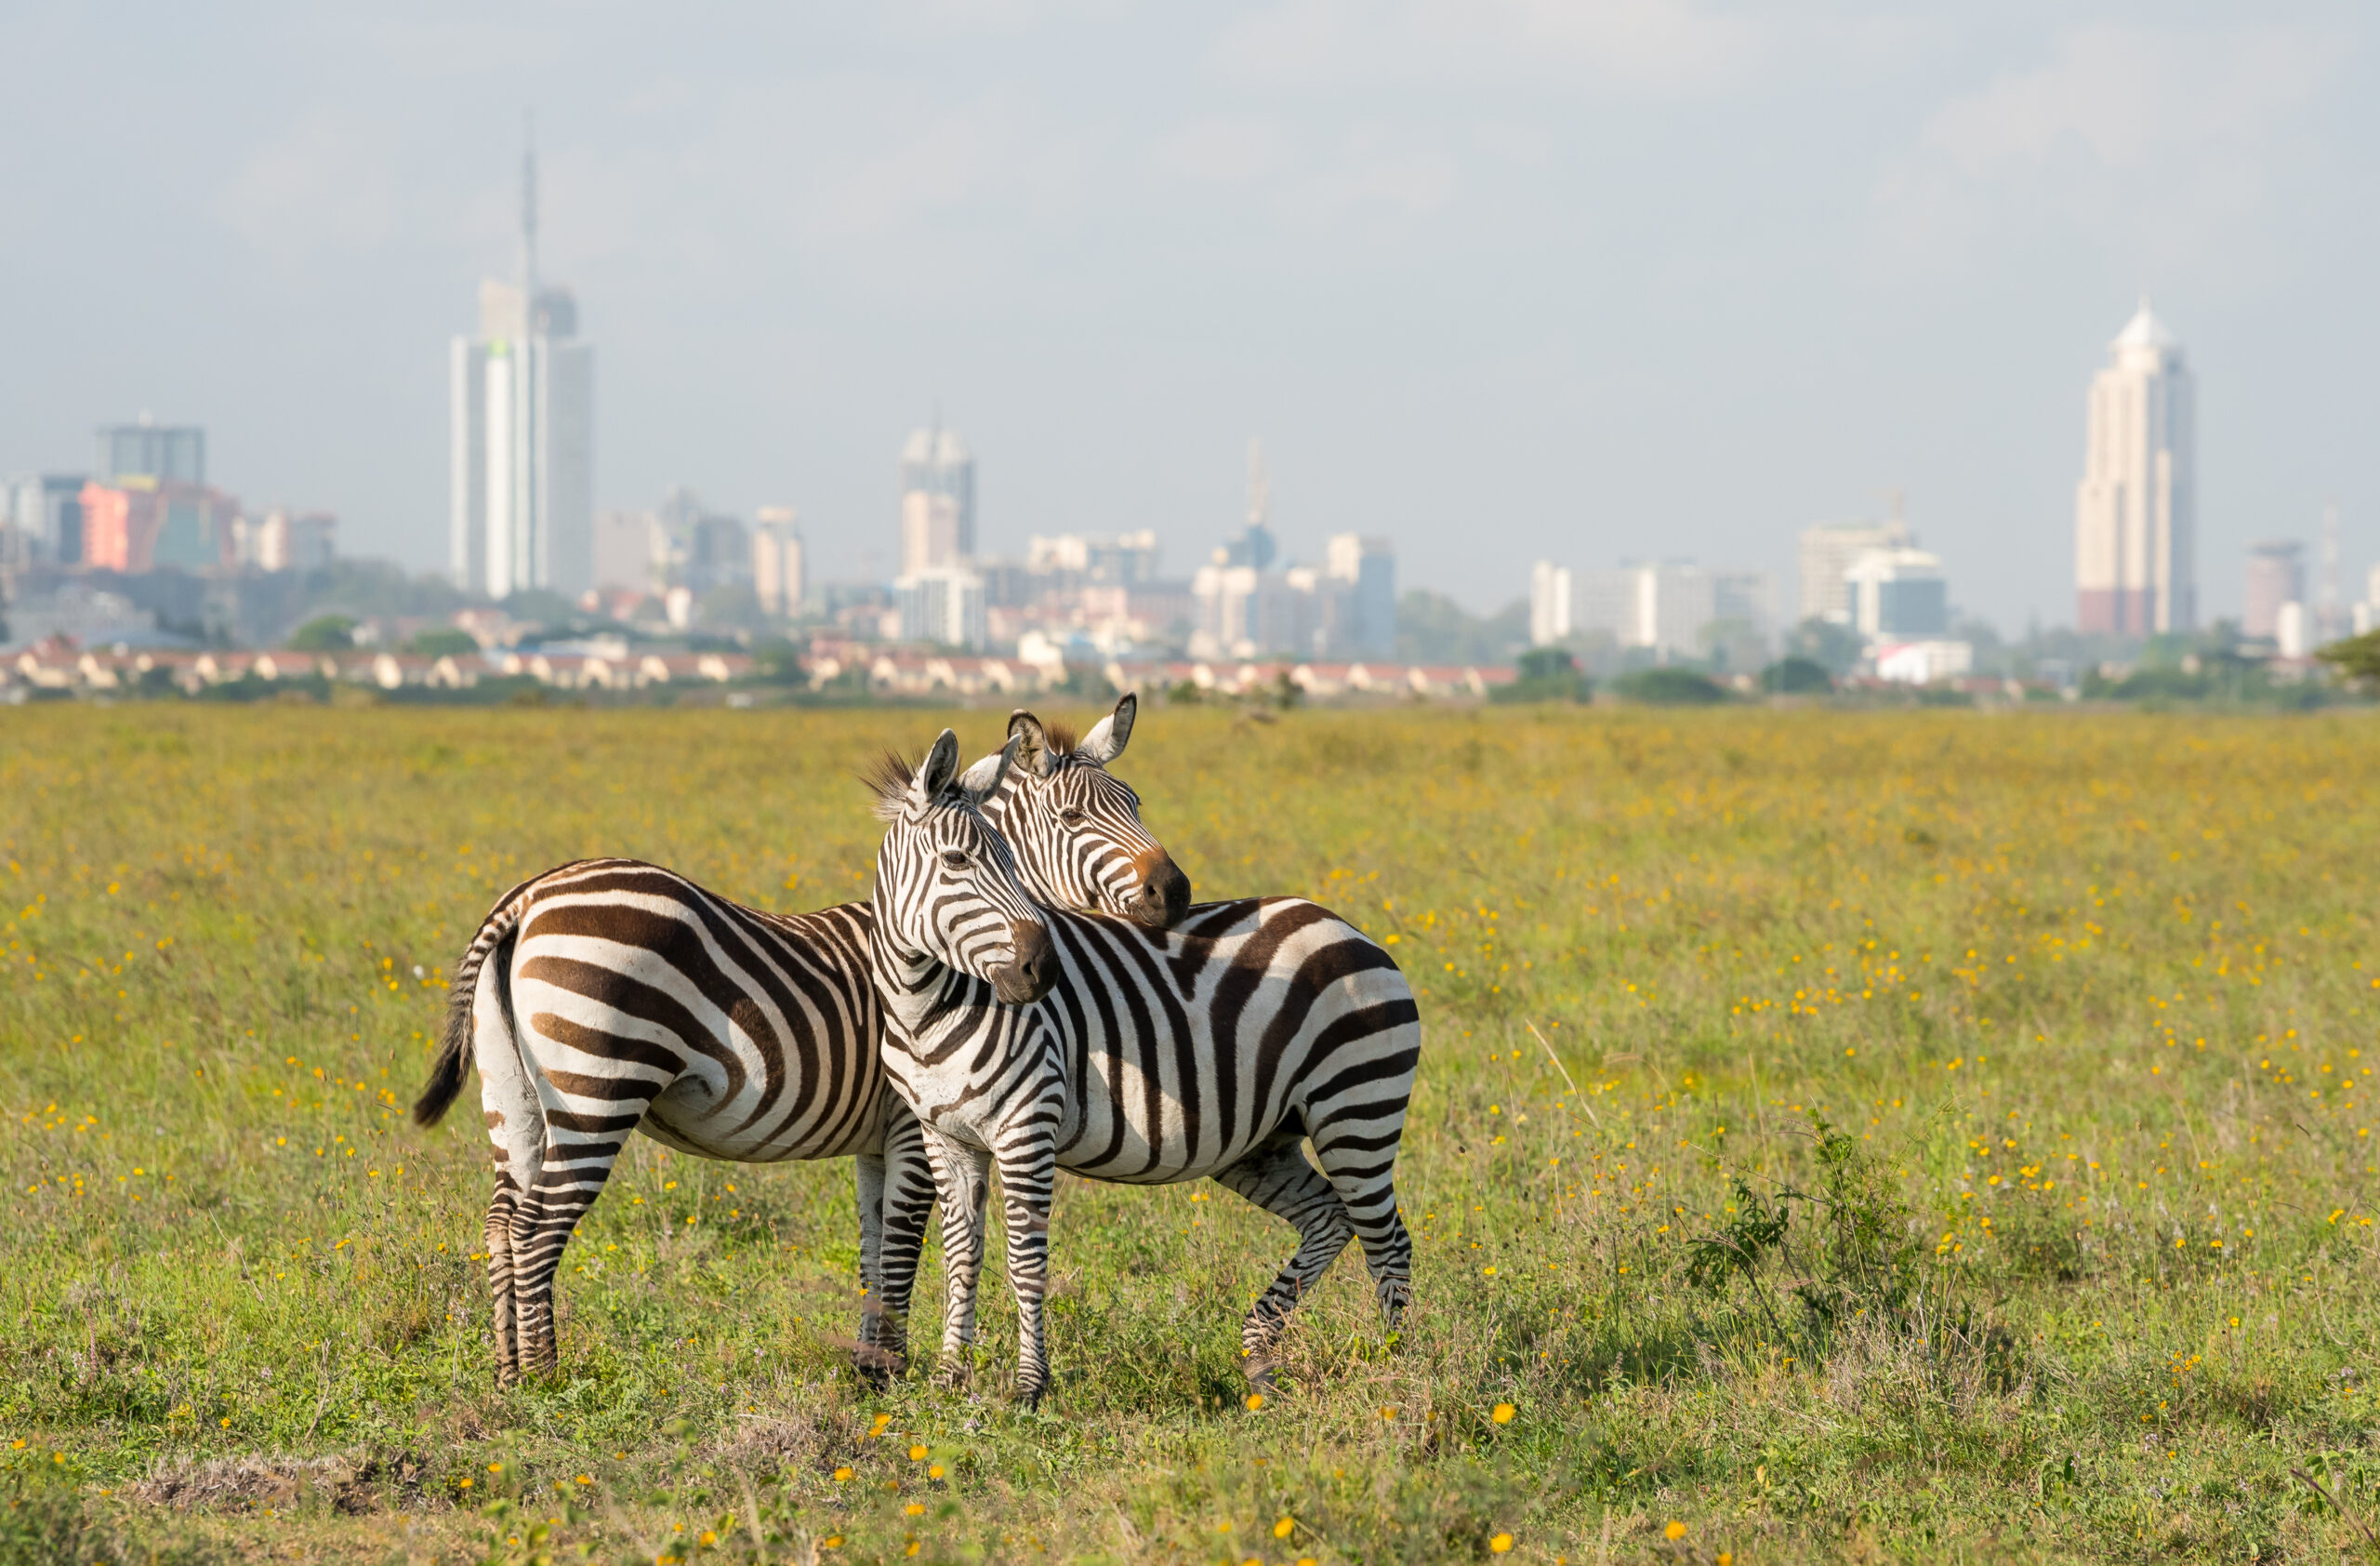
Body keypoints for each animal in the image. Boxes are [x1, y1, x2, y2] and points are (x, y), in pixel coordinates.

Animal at [408, 704, 1184, 1387]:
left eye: (1136, 802)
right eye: (1074, 819)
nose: (1174, 893)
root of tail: (526, 898)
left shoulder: (877, 1140)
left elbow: (874, 1248)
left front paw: (871, 1368)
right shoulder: (911, 1125)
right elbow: (902, 1246)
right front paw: (892, 1371)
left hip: (514, 1097)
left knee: (502, 1223)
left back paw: (508, 1372)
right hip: (596, 1089)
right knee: (538, 1229)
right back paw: (546, 1378)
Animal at [868, 743, 1423, 1406]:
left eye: (1011, 859)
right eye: (957, 859)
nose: (1043, 969)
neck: (925, 1010)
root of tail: (1349, 927)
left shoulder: (1026, 1129)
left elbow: (1025, 1260)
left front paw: (1029, 1387)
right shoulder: (945, 1137)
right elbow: (960, 1256)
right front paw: (951, 1377)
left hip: (1356, 1109)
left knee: (1387, 1243)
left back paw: (1393, 1370)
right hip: (1263, 1142)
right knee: (1330, 1218)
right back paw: (1260, 1355)